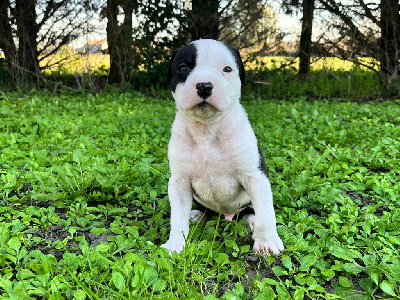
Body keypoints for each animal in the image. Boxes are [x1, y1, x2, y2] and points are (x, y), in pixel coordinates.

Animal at [161, 39, 282, 255]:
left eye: (227, 69)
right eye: (183, 68)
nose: (204, 86)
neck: (207, 130)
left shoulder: (255, 176)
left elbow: (266, 211)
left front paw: (266, 241)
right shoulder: (179, 182)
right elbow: (177, 217)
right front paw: (175, 244)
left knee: (251, 210)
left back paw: (251, 220)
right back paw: (197, 215)